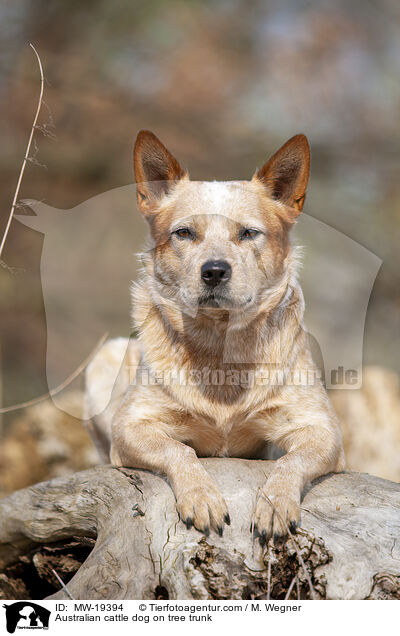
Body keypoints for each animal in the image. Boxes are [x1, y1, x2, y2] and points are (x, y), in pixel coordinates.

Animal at [85, 129, 346, 540]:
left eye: (248, 233)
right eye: (184, 232)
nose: (214, 271)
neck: (220, 345)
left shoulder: (323, 431)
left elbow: (290, 461)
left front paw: (275, 504)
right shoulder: (130, 426)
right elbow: (180, 450)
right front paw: (201, 497)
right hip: (104, 357)